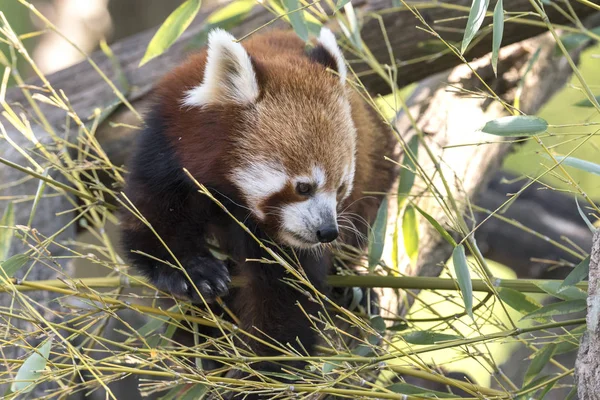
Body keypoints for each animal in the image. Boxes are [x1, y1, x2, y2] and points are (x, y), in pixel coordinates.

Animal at [120, 26, 398, 392]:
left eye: (339, 189)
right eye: (304, 187)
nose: (327, 231)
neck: (231, 194)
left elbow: (286, 296)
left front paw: (265, 374)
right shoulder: (167, 150)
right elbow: (151, 229)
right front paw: (196, 272)